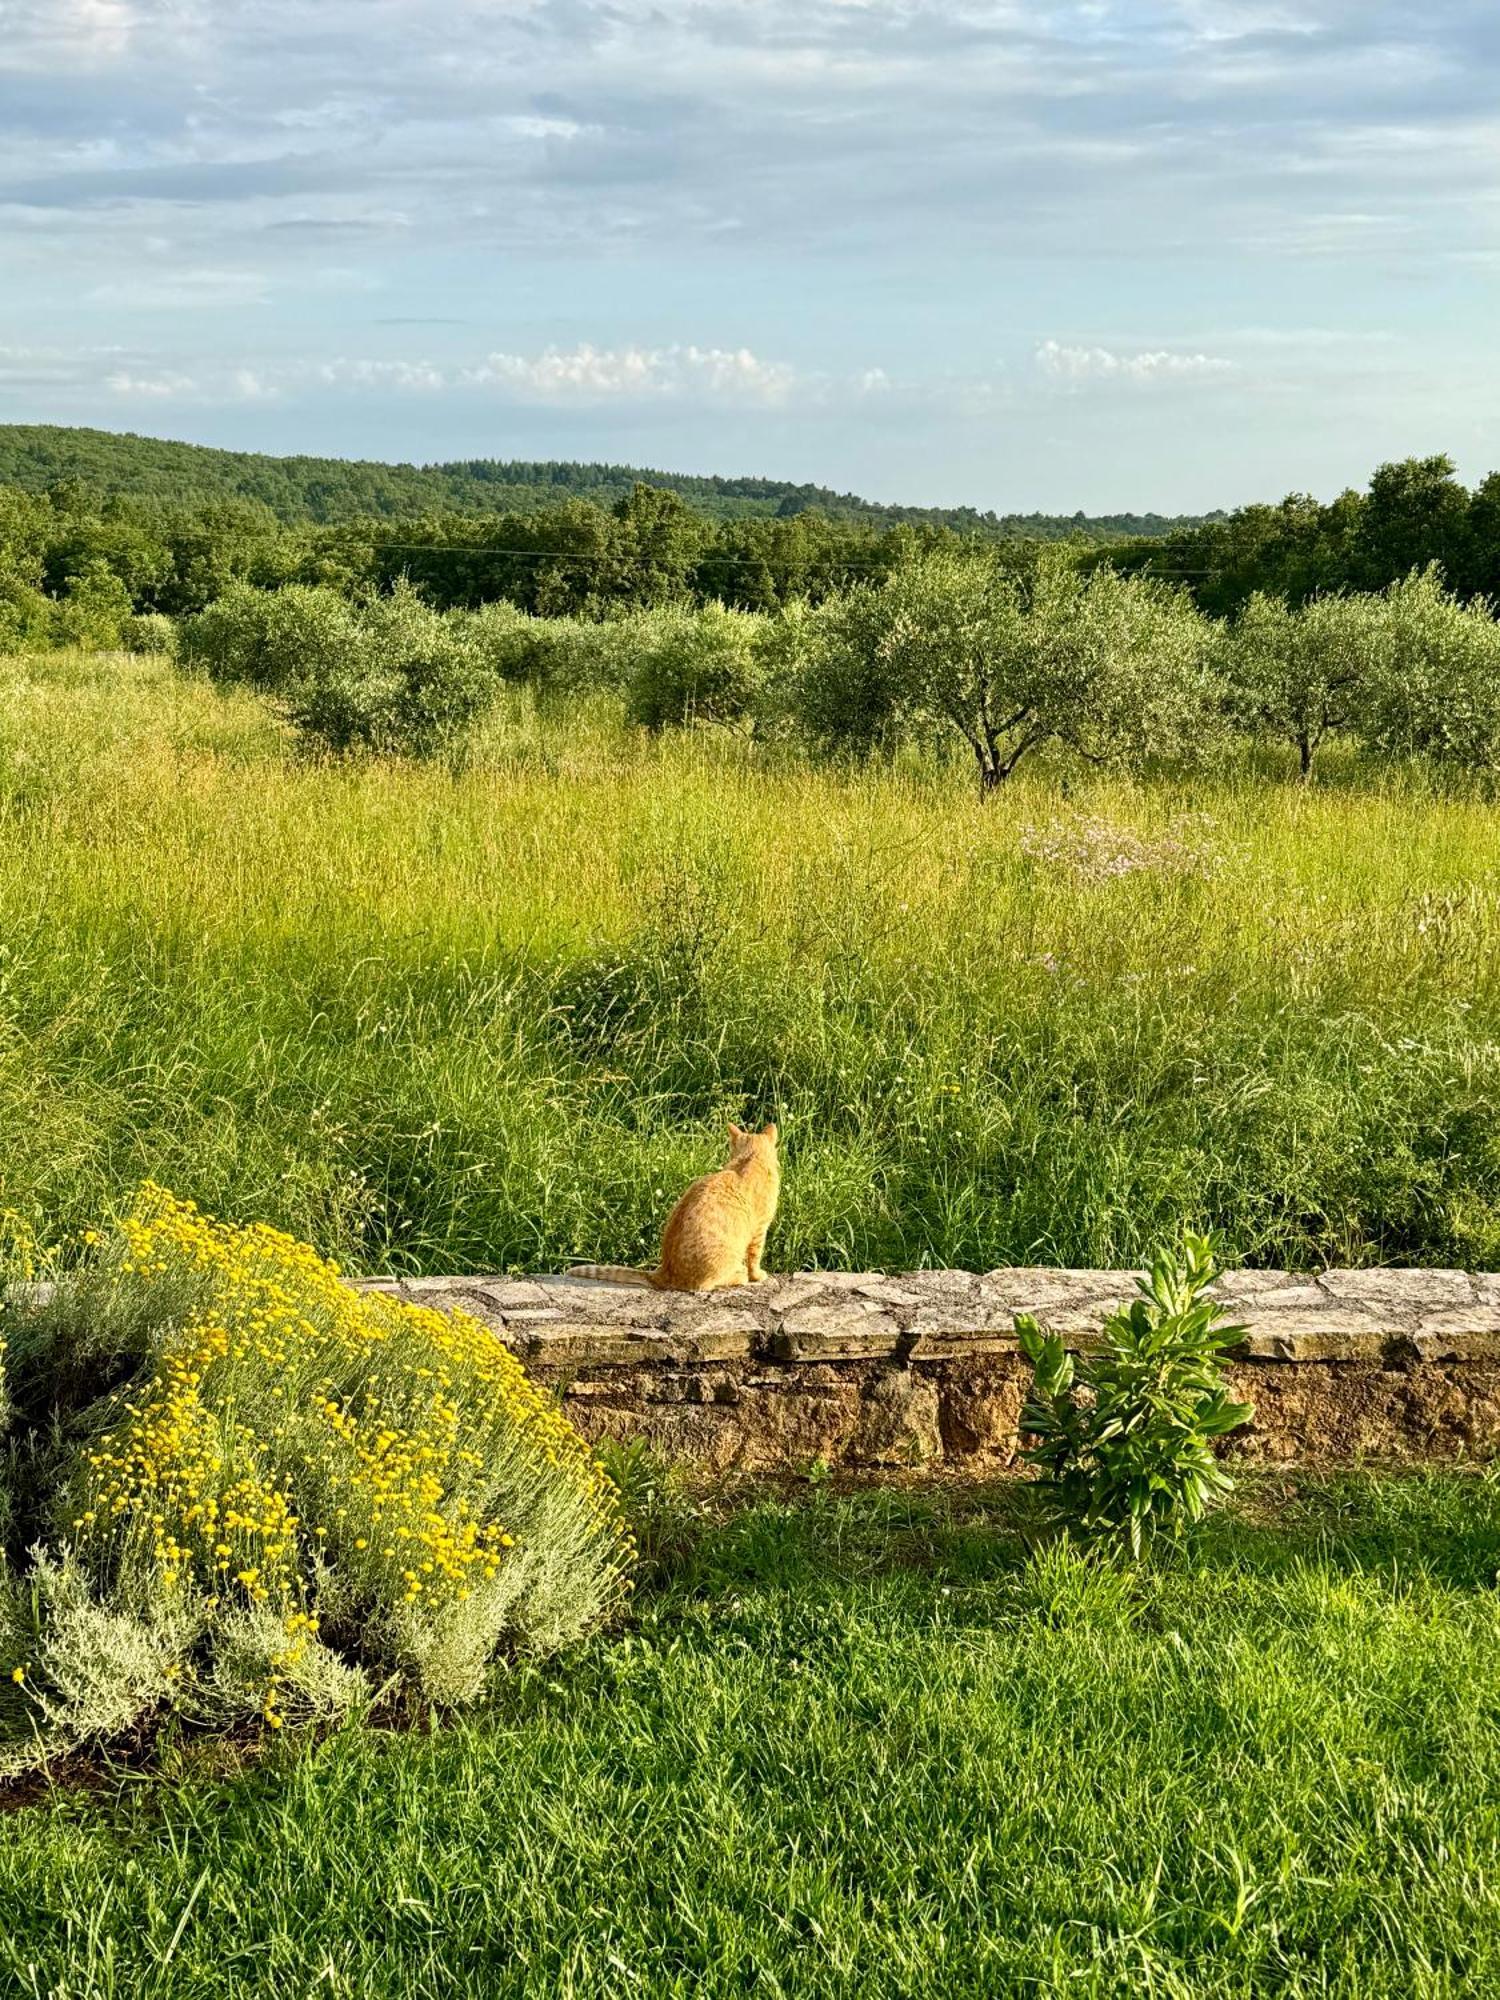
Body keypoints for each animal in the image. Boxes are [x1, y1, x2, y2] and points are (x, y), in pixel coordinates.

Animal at [572, 1128, 788, 1296]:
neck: (750, 1159)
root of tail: (664, 1272)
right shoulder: (760, 1230)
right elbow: (754, 1258)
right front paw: (757, 1275)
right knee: (708, 1284)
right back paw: (739, 1274)